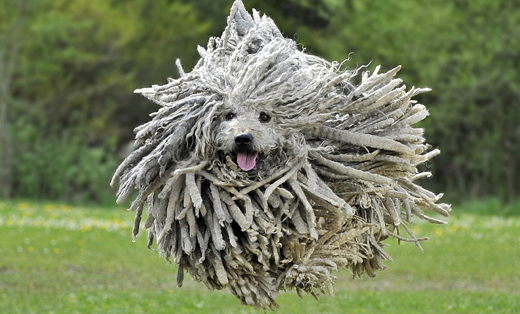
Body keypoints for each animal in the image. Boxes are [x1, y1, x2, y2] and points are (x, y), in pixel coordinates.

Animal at [110, 0, 450, 310]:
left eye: (265, 116)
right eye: (228, 115)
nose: (243, 138)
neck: (255, 187)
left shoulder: (329, 195)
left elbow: (329, 233)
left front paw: (304, 270)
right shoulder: (205, 215)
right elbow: (227, 257)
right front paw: (256, 283)